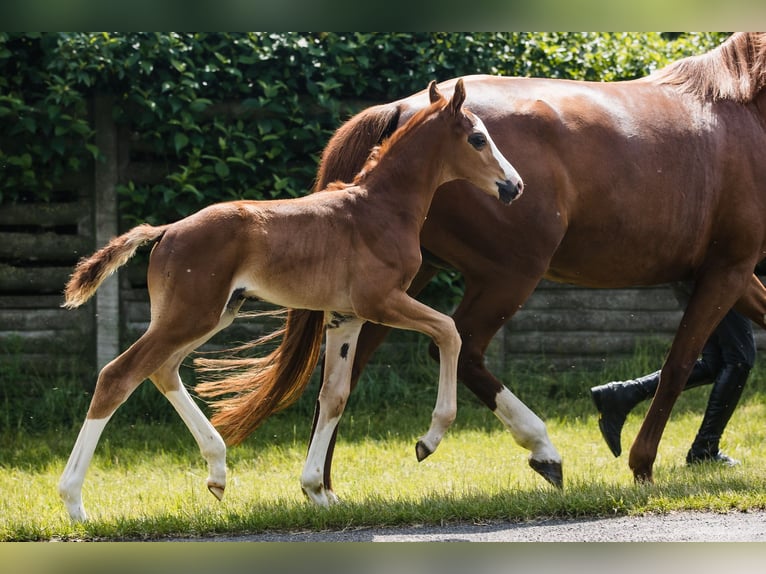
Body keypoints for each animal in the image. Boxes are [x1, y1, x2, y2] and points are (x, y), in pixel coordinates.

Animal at [60, 79, 524, 524]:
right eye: (478, 138)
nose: (515, 185)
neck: (380, 208)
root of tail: (166, 230)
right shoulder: (380, 303)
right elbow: (449, 331)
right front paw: (428, 441)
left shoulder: (345, 317)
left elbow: (333, 395)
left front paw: (316, 491)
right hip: (190, 316)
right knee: (119, 375)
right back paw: (74, 502)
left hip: (212, 315)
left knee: (162, 369)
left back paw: (217, 472)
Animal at [296, 32, 766, 500]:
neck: (742, 110)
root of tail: (401, 109)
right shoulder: (728, 269)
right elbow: (679, 365)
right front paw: (642, 466)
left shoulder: (726, 276)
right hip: (508, 276)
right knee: (459, 347)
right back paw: (540, 449)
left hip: (396, 284)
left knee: (347, 370)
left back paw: (324, 489)